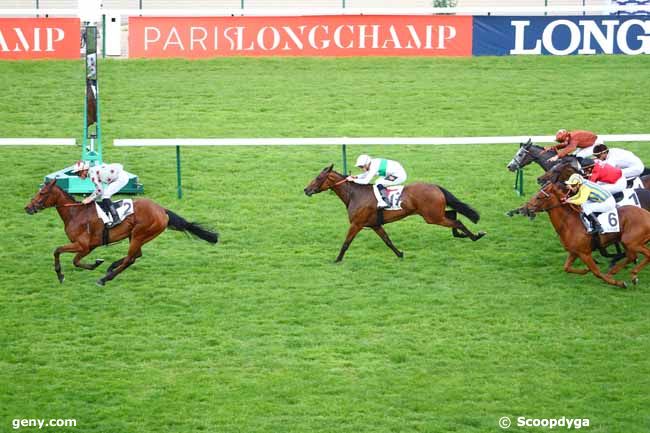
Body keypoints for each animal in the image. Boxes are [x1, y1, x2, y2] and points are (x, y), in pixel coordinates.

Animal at [24, 180, 218, 286]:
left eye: (42, 192)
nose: (27, 207)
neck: (75, 213)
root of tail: (162, 210)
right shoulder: (86, 246)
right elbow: (68, 257)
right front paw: (95, 264)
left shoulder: (84, 246)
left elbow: (66, 256)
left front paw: (62, 274)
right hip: (136, 236)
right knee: (136, 255)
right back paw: (111, 267)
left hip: (140, 234)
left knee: (131, 259)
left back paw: (105, 278)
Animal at [302, 165, 484, 260]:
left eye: (319, 178)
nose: (306, 190)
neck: (355, 194)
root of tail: (435, 186)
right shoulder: (375, 225)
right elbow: (387, 241)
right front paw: (400, 253)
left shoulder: (357, 224)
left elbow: (346, 243)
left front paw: (337, 260)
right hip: (434, 214)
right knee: (453, 214)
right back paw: (461, 234)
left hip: (432, 216)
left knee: (456, 220)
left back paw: (475, 236)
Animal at [512, 181, 648, 286]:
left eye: (539, 197)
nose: (523, 209)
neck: (569, 222)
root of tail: (647, 214)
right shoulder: (574, 251)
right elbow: (566, 268)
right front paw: (585, 270)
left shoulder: (584, 253)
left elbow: (597, 272)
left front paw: (618, 283)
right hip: (629, 242)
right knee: (632, 256)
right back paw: (618, 272)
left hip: (631, 242)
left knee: (646, 254)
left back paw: (632, 274)